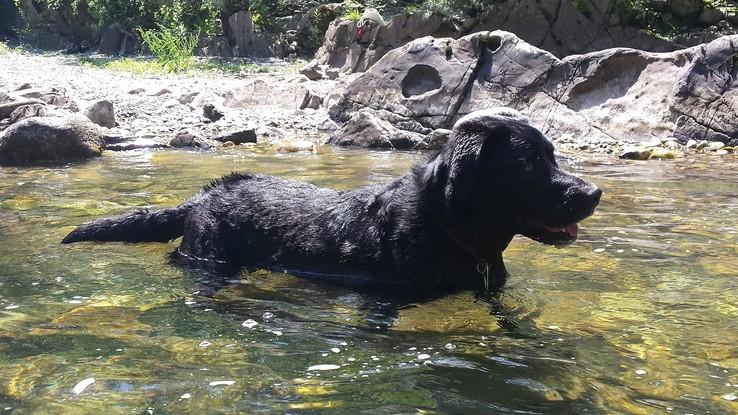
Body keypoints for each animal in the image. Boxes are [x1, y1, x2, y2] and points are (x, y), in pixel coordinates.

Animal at [61, 110, 600, 292]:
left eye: (554, 155)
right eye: (530, 163)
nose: (595, 193)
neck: (448, 227)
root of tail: (206, 192)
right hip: (208, 256)